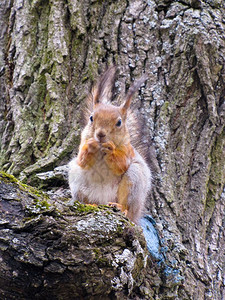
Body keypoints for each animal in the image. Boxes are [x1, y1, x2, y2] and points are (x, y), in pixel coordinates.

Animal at [68, 67, 152, 224]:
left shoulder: (127, 150)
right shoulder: (82, 143)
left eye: (119, 122)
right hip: (77, 179)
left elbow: (121, 165)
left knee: (127, 205)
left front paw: (110, 149)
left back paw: (120, 207)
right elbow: (82, 160)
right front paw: (91, 146)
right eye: (91, 118)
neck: (101, 151)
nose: (100, 134)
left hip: (134, 180)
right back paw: (91, 204)